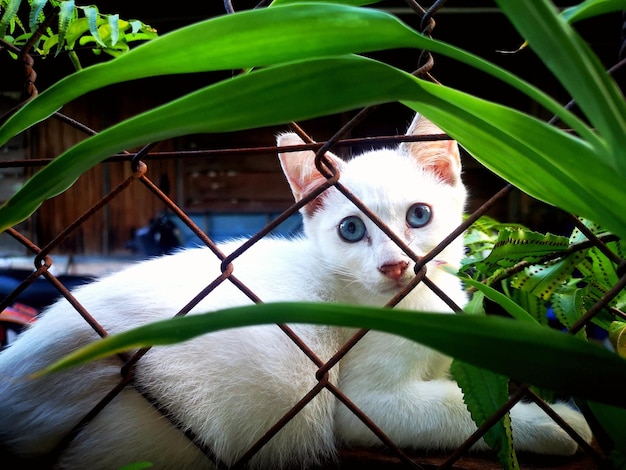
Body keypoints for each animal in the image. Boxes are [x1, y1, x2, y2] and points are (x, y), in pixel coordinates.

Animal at [0, 114, 588, 470]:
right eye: (351, 229)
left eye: (419, 216)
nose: (396, 264)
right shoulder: (365, 402)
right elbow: (455, 411)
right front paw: (555, 422)